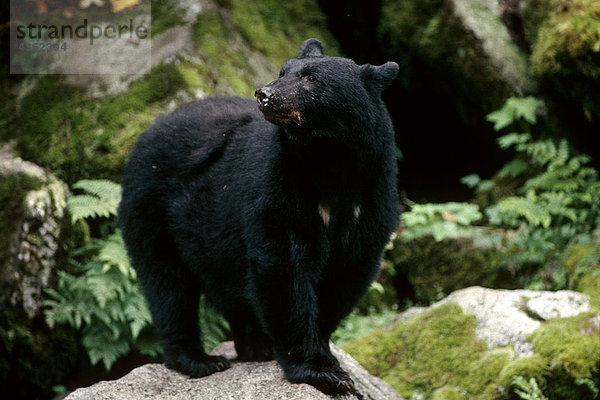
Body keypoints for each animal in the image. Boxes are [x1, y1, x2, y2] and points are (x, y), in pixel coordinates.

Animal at [118, 37, 398, 394]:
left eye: (311, 78)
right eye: (283, 71)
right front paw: (320, 370)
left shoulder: (373, 195)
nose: (265, 93)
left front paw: (323, 352)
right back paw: (199, 359)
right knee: (168, 285)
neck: (328, 163)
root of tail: (151, 128)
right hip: (152, 206)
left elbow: (346, 273)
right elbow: (283, 267)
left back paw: (255, 344)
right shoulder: (281, 184)